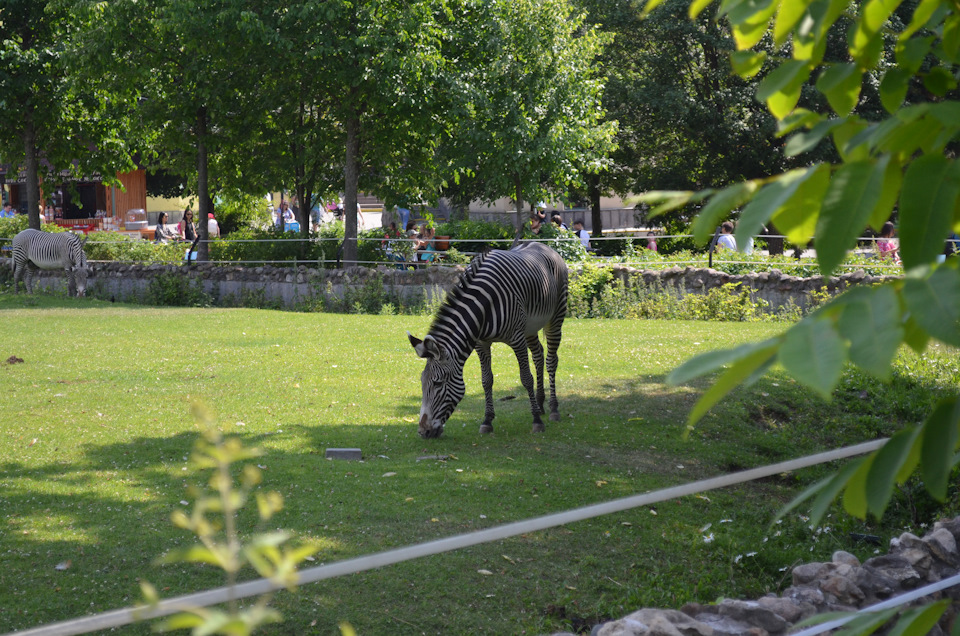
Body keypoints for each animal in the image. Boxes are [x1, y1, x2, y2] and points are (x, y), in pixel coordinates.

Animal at [406, 242, 568, 438]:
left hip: (556, 317)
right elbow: (486, 380)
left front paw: (536, 420)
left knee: (551, 360)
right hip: (531, 327)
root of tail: (543, 245)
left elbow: (526, 378)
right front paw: (487, 420)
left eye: (438, 383)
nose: (423, 432)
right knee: (538, 355)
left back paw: (553, 409)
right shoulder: (481, 343)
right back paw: (540, 402)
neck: (484, 304)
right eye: (422, 382)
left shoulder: (517, 338)